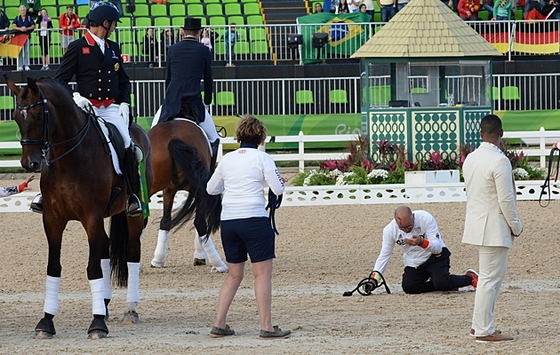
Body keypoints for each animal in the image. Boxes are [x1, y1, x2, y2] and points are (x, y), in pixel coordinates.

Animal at [7, 77, 151, 340]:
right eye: (15, 116)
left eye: (39, 116)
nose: (29, 163)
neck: (68, 158)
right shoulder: (52, 220)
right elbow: (53, 267)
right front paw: (46, 322)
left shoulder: (91, 217)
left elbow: (93, 268)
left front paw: (97, 324)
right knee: (105, 246)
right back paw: (103, 304)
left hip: (132, 216)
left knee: (132, 253)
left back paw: (130, 310)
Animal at [150, 118, 226, 272]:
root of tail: (173, 137)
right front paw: (200, 255)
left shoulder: (168, 190)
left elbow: (165, 221)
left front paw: (158, 260)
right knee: (200, 222)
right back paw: (218, 263)